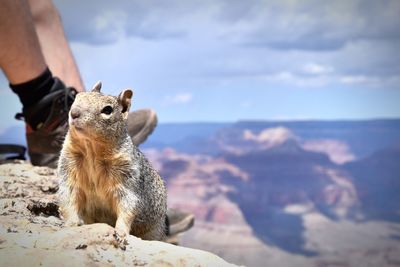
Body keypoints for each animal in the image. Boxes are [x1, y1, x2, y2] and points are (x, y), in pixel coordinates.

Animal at [57, 81, 167, 241]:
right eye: (77, 97)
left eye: (107, 109)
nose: (74, 113)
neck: (92, 150)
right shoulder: (69, 168)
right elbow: (68, 197)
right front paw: (71, 223)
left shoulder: (126, 178)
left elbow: (128, 205)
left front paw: (120, 232)